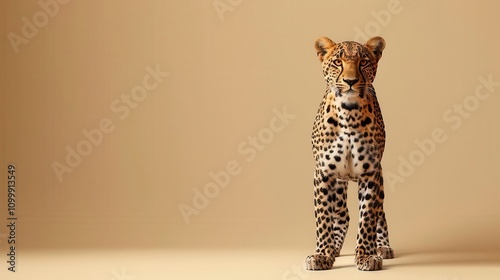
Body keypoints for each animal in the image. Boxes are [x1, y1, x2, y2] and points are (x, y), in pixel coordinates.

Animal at [302, 36, 396, 272]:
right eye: (338, 62)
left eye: (363, 62)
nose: (351, 81)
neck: (349, 112)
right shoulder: (323, 173)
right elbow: (323, 217)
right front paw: (322, 254)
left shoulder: (371, 173)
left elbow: (368, 217)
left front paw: (366, 256)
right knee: (342, 213)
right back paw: (334, 248)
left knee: (380, 213)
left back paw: (383, 247)